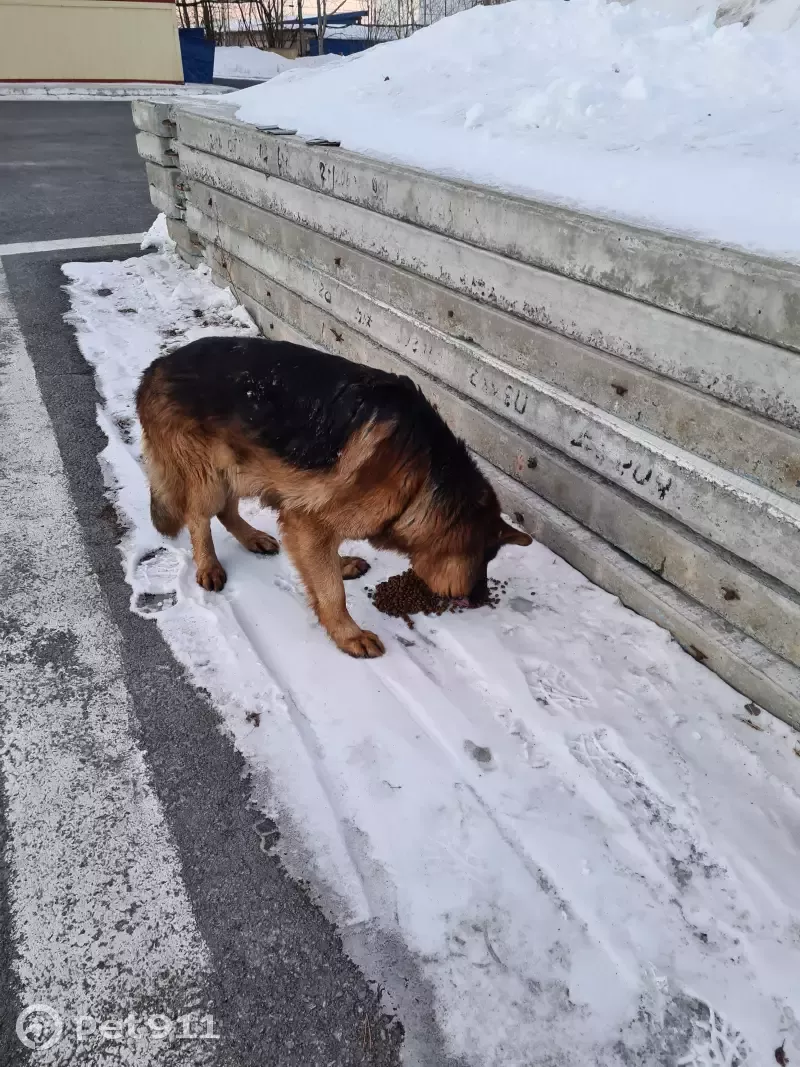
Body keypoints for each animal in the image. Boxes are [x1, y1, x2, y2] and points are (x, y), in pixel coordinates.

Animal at [136, 337, 533, 657]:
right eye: (485, 557)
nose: (479, 599)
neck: (424, 472)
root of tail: (155, 366)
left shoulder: (318, 519)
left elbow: (325, 564)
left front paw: (339, 565)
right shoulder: (306, 520)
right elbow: (331, 591)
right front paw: (348, 634)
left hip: (242, 467)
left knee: (226, 510)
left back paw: (253, 538)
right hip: (212, 476)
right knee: (198, 515)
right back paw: (208, 565)